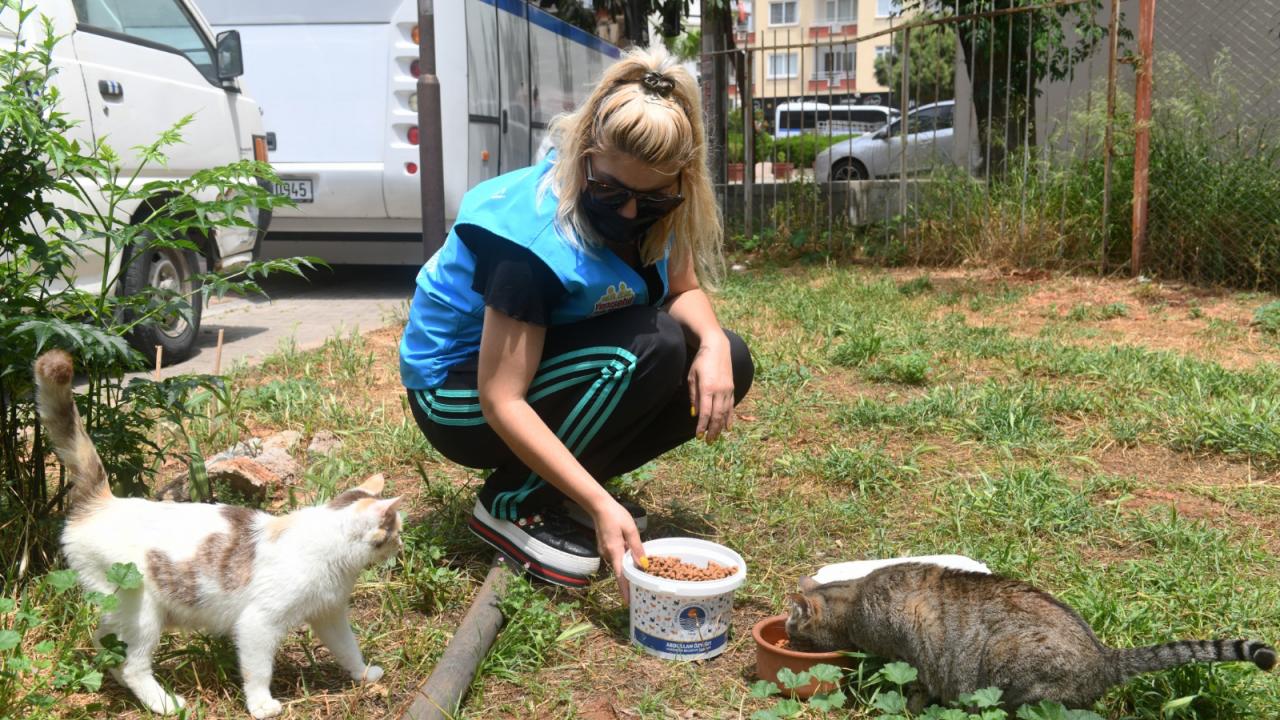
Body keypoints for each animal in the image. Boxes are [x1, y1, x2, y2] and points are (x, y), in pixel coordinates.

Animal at [35, 348, 401, 712]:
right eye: (395, 532)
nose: (399, 546)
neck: (332, 553)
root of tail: (102, 502)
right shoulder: (258, 624)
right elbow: (258, 671)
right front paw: (261, 706)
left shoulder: (329, 614)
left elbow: (347, 648)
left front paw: (364, 673)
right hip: (141, 612)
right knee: (133, 666)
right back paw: (165, 704)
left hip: (119, 611)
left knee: (105, 645)